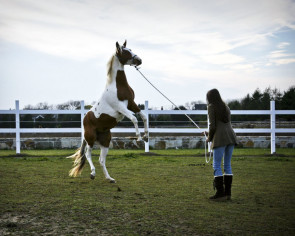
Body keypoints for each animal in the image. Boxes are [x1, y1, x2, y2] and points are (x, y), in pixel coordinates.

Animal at [68, 40, 149, 183]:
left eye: (130, 49)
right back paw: (92, 174)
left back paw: (110, 178)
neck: (117, 87)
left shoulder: (132, 104)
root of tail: (85, 118)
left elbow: (143, 116)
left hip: (105, 141)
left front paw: (146, 136)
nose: (139, 60)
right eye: (125, 51)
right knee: (88, 154)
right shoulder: (121, 108)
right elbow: (134, 118)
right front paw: (139, 138)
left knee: (101, 160)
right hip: (90, 138)